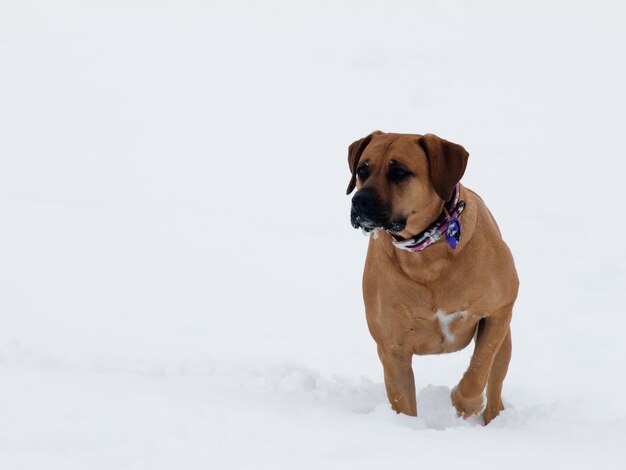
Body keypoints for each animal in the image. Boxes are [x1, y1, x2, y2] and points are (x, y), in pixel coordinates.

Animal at [346, 130, 516, 424]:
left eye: (399, 172)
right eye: (361, 170)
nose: (359, 200)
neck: (426, 255)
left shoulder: (499, 311)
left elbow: (478, 370)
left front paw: (464, 403)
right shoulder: (392, 348)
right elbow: (403, 401)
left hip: (505, 343)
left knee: (494, 386)